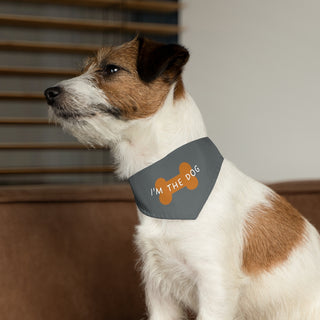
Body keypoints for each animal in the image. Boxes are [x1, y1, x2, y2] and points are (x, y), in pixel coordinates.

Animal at [44, 37, 320, 318]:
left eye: (111, 69)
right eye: (84, 69)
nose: (49, 93)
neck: (166, 183)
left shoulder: (215, 286)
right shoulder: (159, 289)